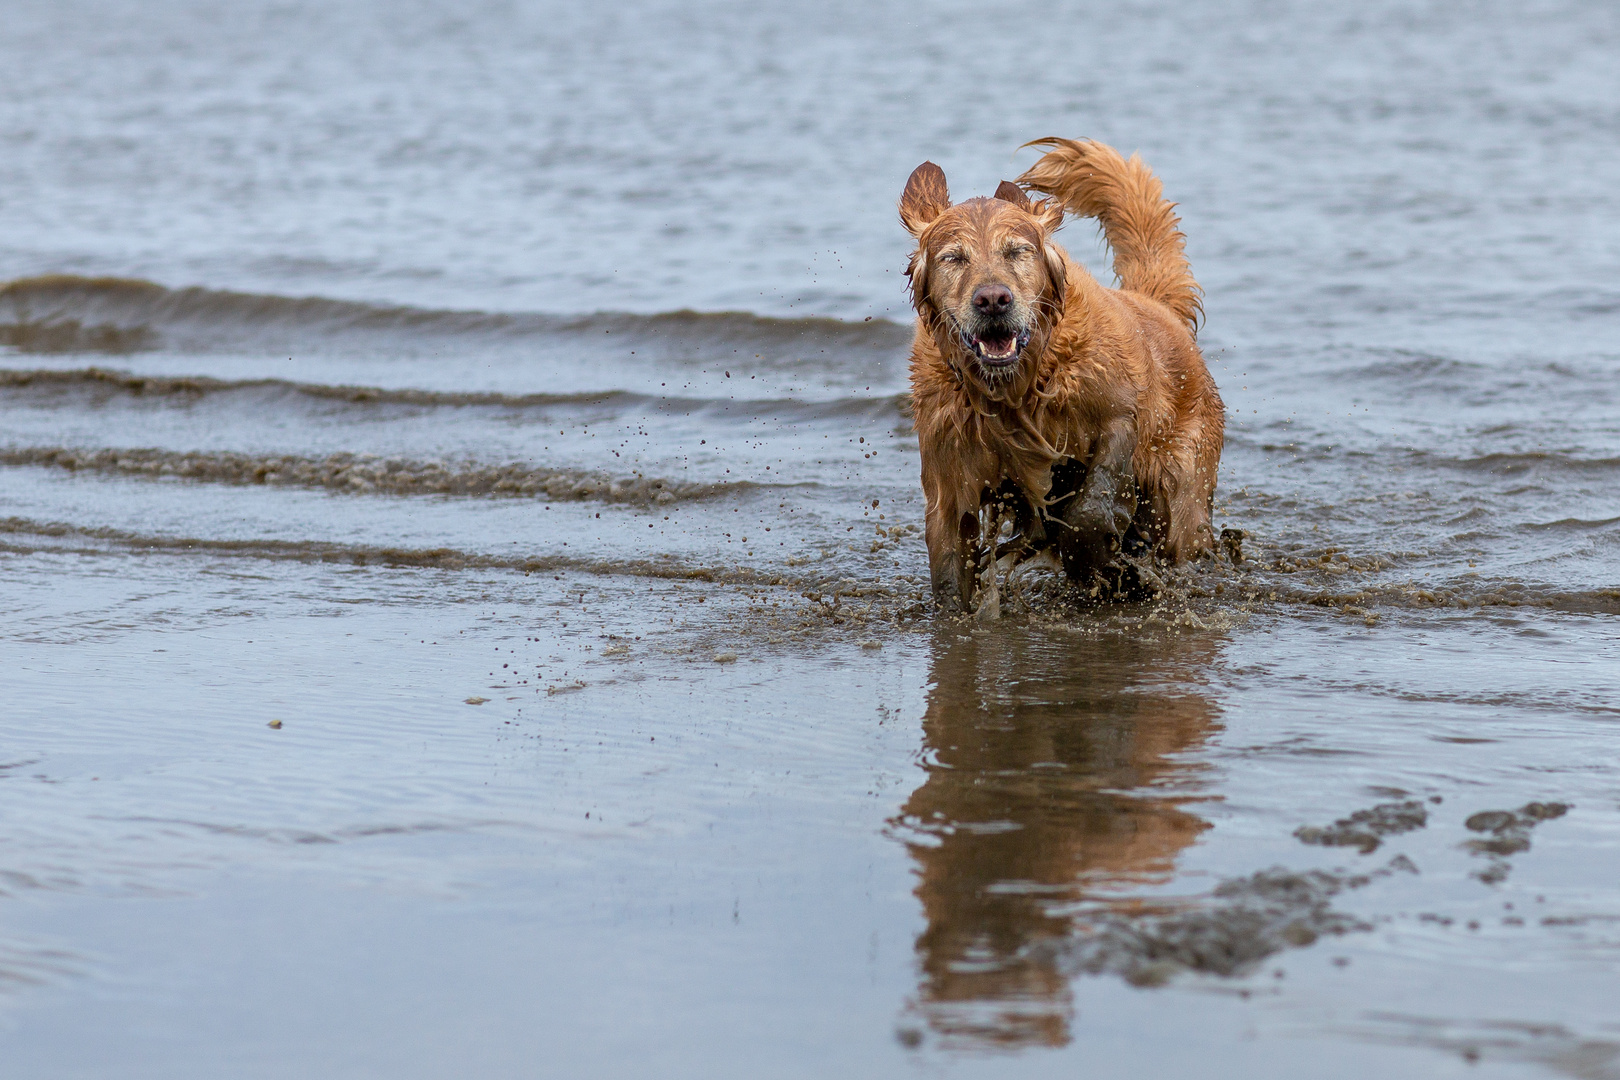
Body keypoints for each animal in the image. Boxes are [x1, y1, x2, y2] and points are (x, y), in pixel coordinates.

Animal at [907, 139, 1218, 612]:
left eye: (1016, 251)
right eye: (953, 258)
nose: (993, 299)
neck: (1017, 390)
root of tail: (1157, 306)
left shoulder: (1118, 415)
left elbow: (1090, 508)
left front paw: (1106, 562)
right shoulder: (948, 481)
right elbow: (948, 567)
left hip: (1180, 487)